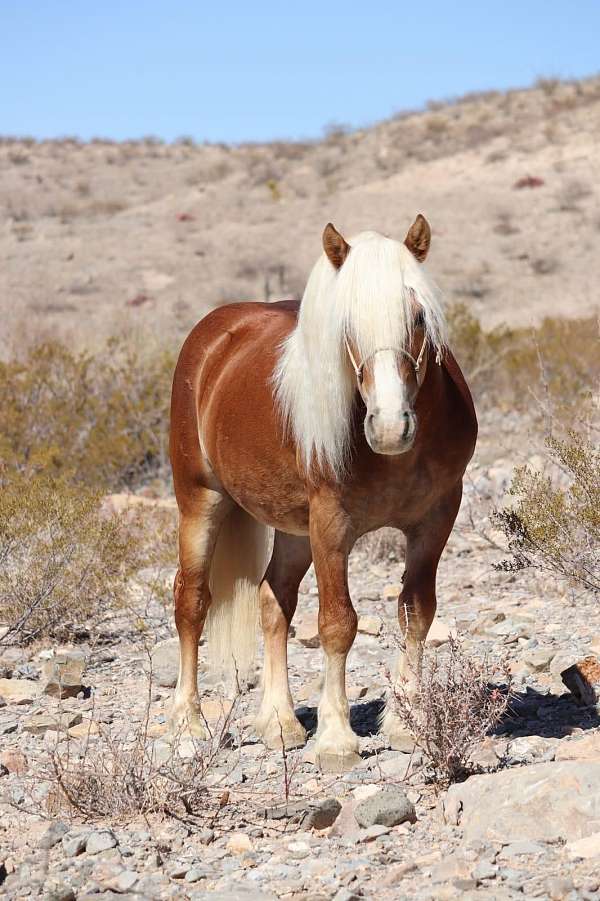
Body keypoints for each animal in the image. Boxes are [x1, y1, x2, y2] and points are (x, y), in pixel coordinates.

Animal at [170, 216, 478, 768]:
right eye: (347, 326)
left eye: (419, 317)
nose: (390, 427)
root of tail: (215, 337)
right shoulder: (332, 526)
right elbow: (338, 623)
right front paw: (337, 738)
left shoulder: (436, 519)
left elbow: (416, 613)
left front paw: (407, 720)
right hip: (200, 503)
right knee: (191, 602)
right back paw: (188, 722)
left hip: (293, 528)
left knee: (274, 602)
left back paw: (280, 722)